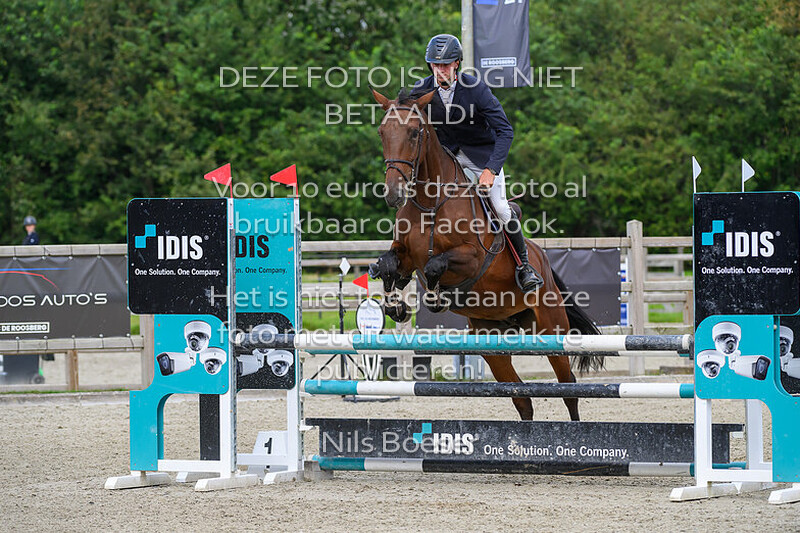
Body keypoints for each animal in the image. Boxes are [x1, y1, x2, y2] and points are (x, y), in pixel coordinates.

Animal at [368, 87, 603, 421]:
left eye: (414, 132)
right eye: (382, 132)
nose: (393, 194)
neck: (431, 201)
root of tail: (543, 262)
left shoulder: (472, 259)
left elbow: (436, 265)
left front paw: (435, 299)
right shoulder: (405, 256)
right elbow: (389, 265)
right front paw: (395, 306)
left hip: (550, 328)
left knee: (568, 386)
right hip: (491, 340)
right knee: (521, 398)